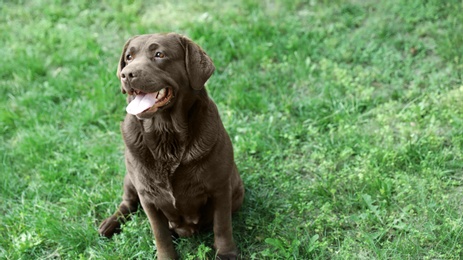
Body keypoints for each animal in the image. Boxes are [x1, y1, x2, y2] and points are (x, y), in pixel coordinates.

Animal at [99, 33, 246, 260]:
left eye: (159, 54)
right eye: (129, 57)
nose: (126, 74)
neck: (166, 135)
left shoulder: (220, 187)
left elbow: (222, 225)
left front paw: (226, 253)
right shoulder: (147, 196)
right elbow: (160, 233)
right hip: (130, 178)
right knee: (127, 202)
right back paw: (108, 224)